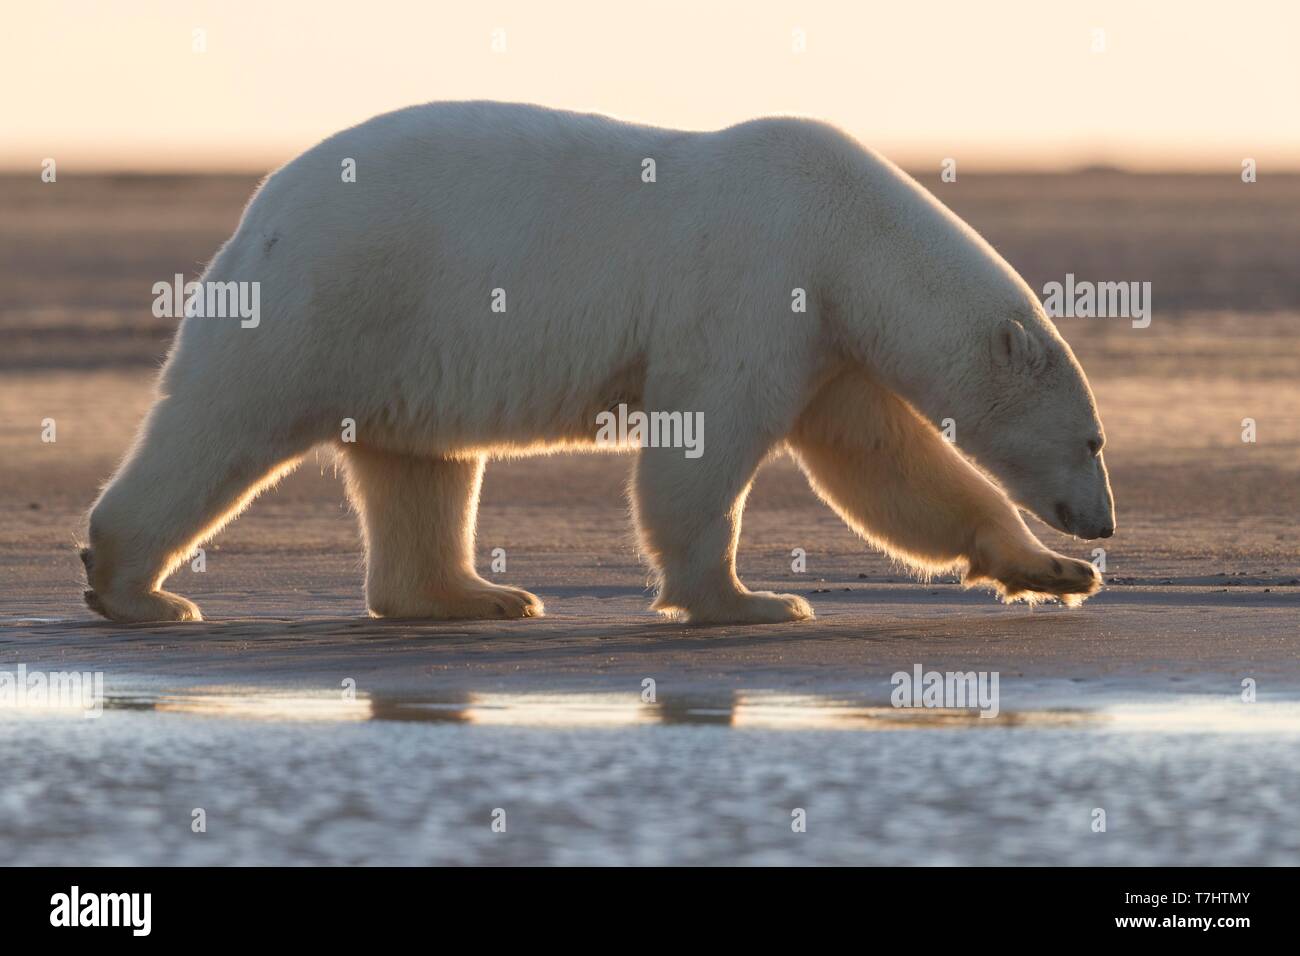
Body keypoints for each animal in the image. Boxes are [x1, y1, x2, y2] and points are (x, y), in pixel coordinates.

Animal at [81, 100, 1118, 624]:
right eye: (1095, 440)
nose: (1103, 525)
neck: (847, 229)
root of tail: (260, 212)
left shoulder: (826, 338)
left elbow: (886, 466)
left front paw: (1051, 570)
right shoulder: (755, 287)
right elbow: (704, 445)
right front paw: (754, 600)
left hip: (400, 345)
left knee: (420, 469)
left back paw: (479, 596)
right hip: (328, 300)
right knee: (219, 427)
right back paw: (134, 587)